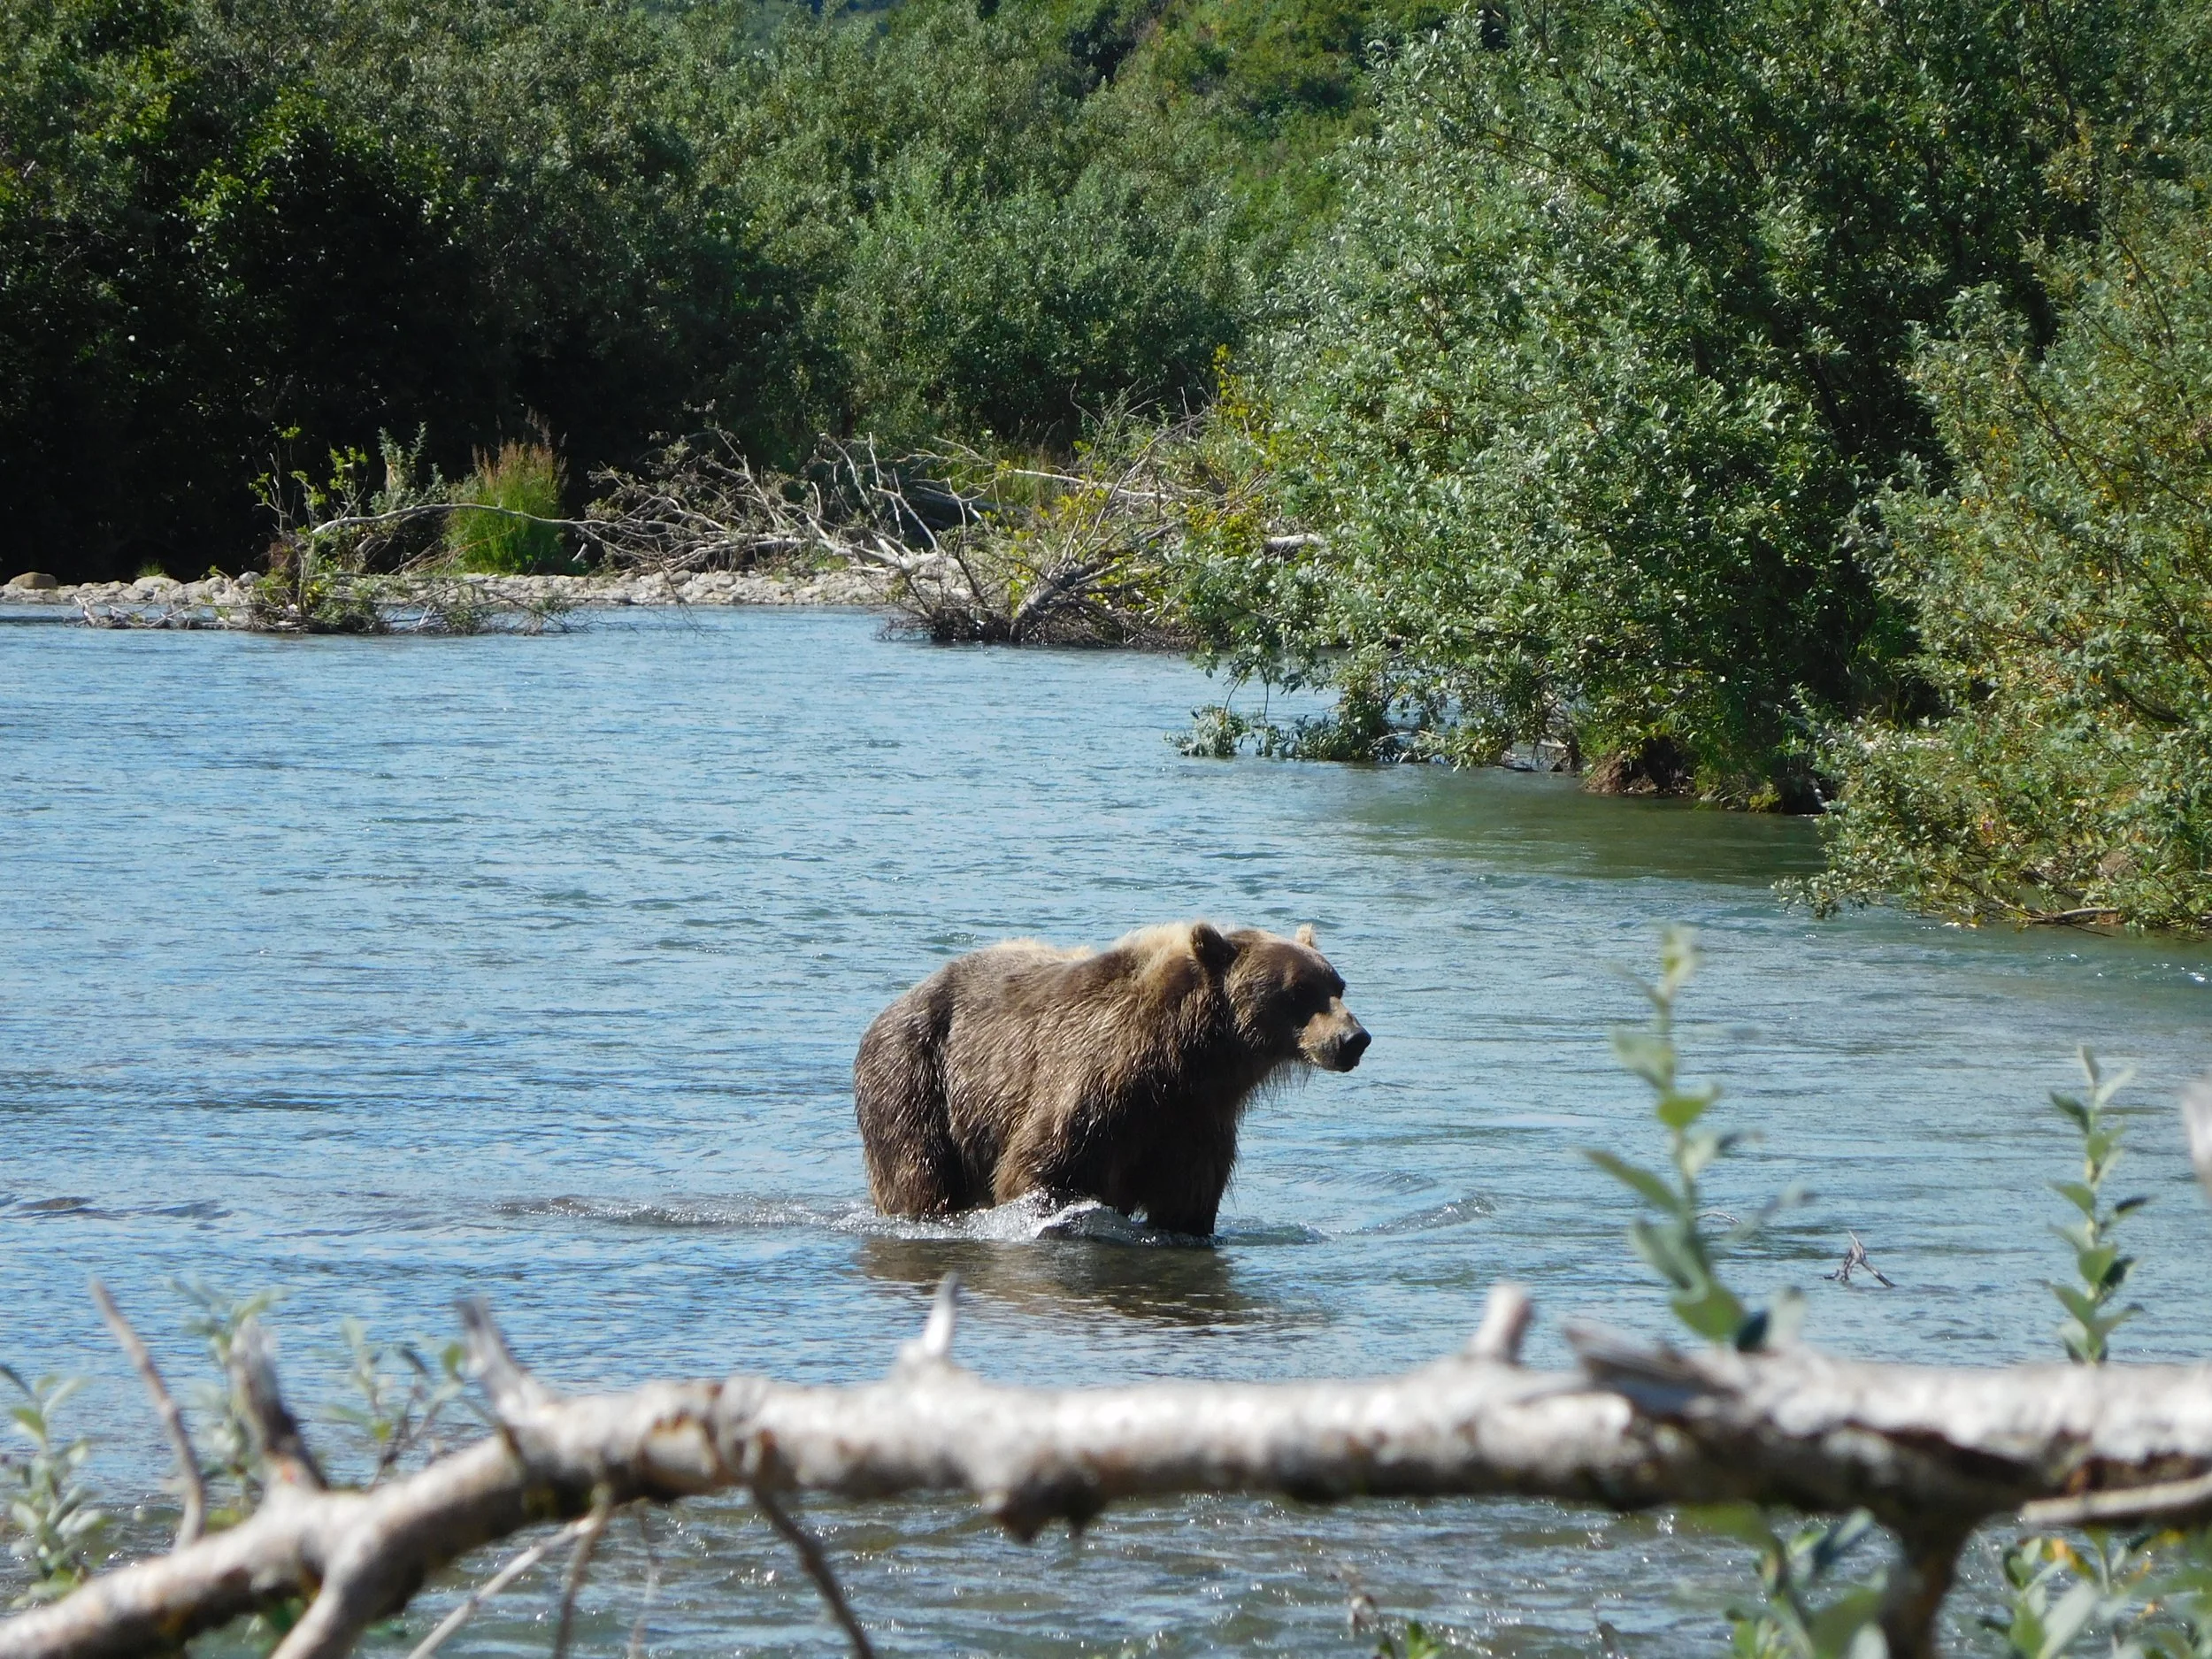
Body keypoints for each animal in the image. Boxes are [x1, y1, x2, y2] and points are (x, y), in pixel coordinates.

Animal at [853, 921, 1369, 1236]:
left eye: (1337, 985)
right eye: (1298, 990)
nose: (1354, 1038)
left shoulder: (1194, 1124)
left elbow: (1188, 1203)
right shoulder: (1093, 1088)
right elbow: (1036, 1169)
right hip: (914, 1079)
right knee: (918, 1178)